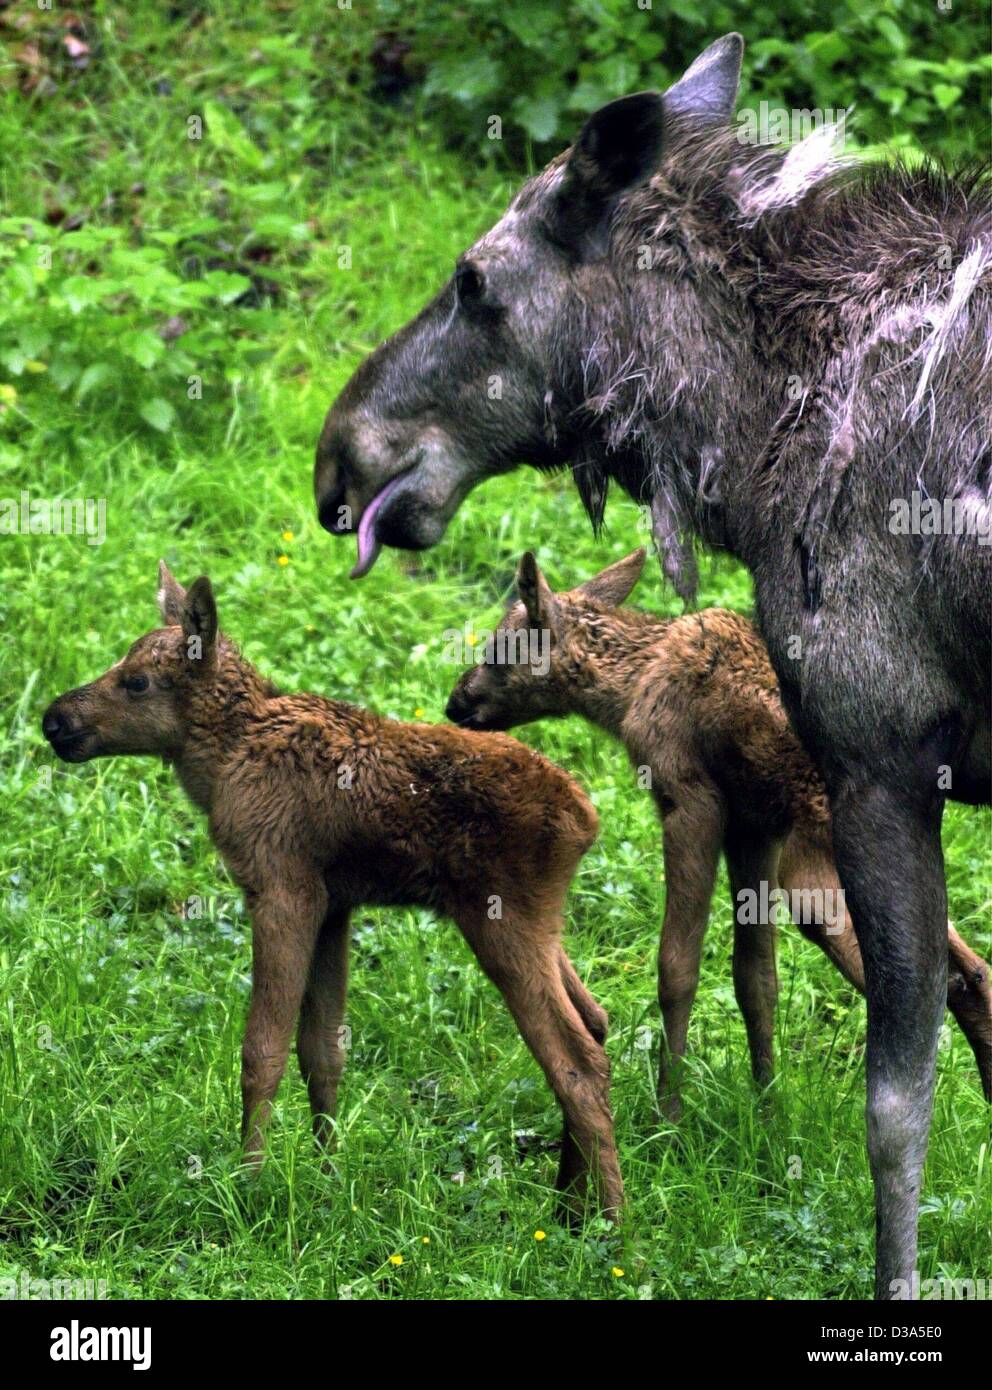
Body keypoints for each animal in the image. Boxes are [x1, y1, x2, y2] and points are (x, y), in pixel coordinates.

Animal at [46, 564, 622, 1217]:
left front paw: (248, 1184)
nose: (54, 721)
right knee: (596, 1020)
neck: (217, 767)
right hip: (542, 923)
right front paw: (327, 1174)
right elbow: (323, 1052)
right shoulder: (335, 905)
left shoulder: (280, 888)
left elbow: (262, 1050)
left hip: (502, 918)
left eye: (137, 681)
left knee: (578, 1060)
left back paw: (610, 1221)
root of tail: (586, 820)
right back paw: (569, 1202)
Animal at [447, 550, 989, 1117]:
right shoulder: (754, 826)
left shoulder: (689, 798)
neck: (627, 689)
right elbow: (756, 976)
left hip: (816, 874)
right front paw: (767, 1101)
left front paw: (669, 1112)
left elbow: (677, 966)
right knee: (971, 970)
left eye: (499, 647)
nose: (456, 700)